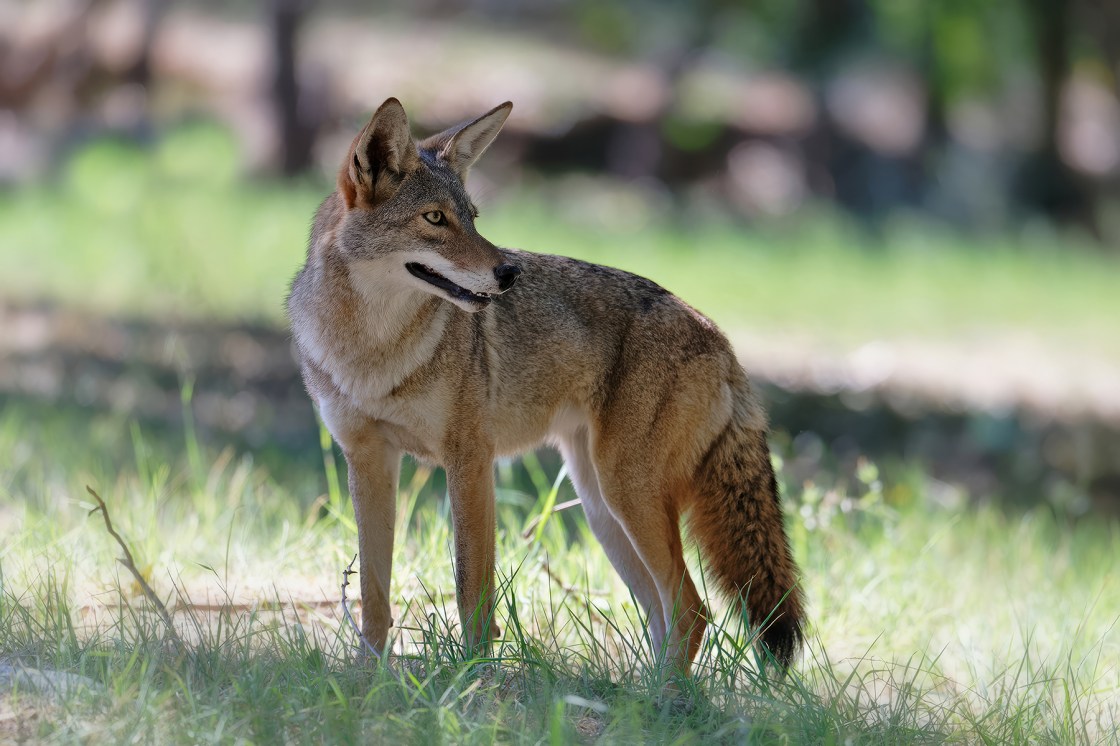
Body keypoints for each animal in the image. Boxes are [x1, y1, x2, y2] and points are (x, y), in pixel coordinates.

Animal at [287, 97, 805, 674]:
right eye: (435, 218)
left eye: (472, 218)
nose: (508, 272)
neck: (372, 351)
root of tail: (717, 334)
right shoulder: (368, 460)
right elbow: (374, 594)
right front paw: (367, 676)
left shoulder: (470, 461)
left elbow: (470, 588)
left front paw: (473, 678)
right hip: (604, 511)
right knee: (669, 615)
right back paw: (642, 691)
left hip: (625, 496)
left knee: (691, 610)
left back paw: (663, 694)